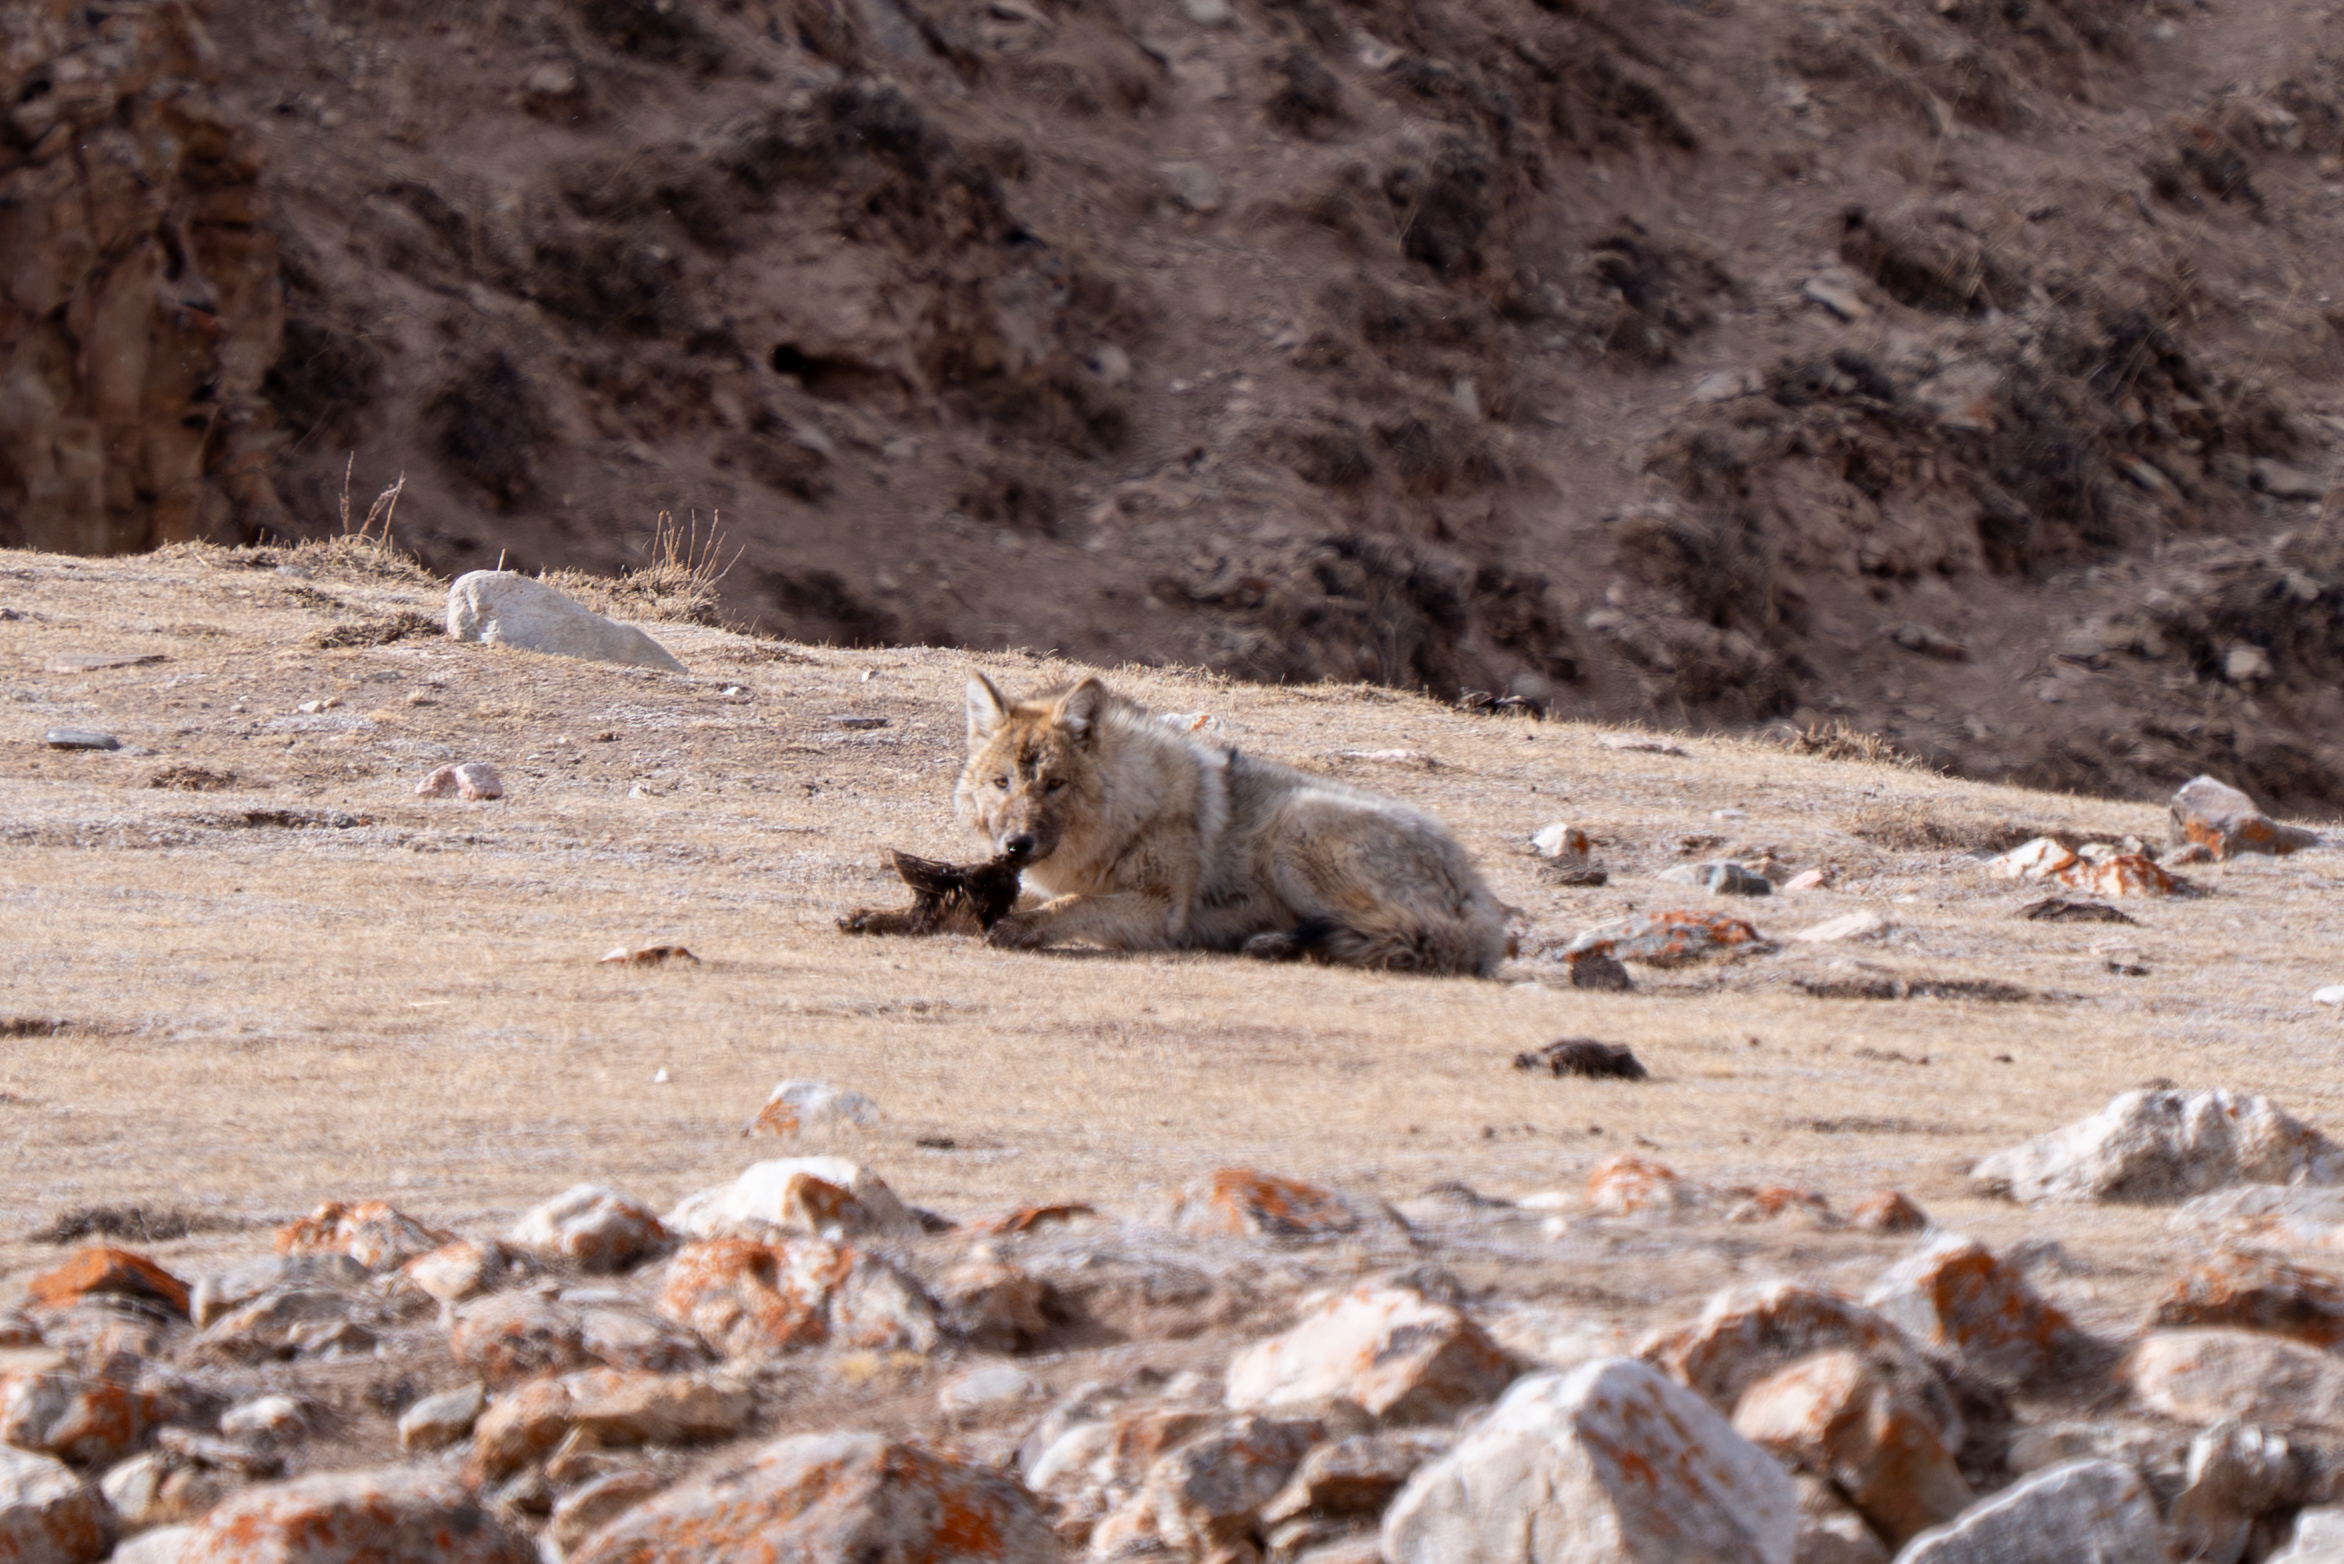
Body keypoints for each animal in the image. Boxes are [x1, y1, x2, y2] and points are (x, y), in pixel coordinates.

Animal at [955, 672, 1512, 975]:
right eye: (1003, 783)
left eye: (1054, 784)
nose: (1015, 845)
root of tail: (1478, 892)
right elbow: (1038, 899)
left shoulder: (1161, 911)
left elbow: (1073, 905)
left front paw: (1016, 928)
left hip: (1295, 828)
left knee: (1389, 938)